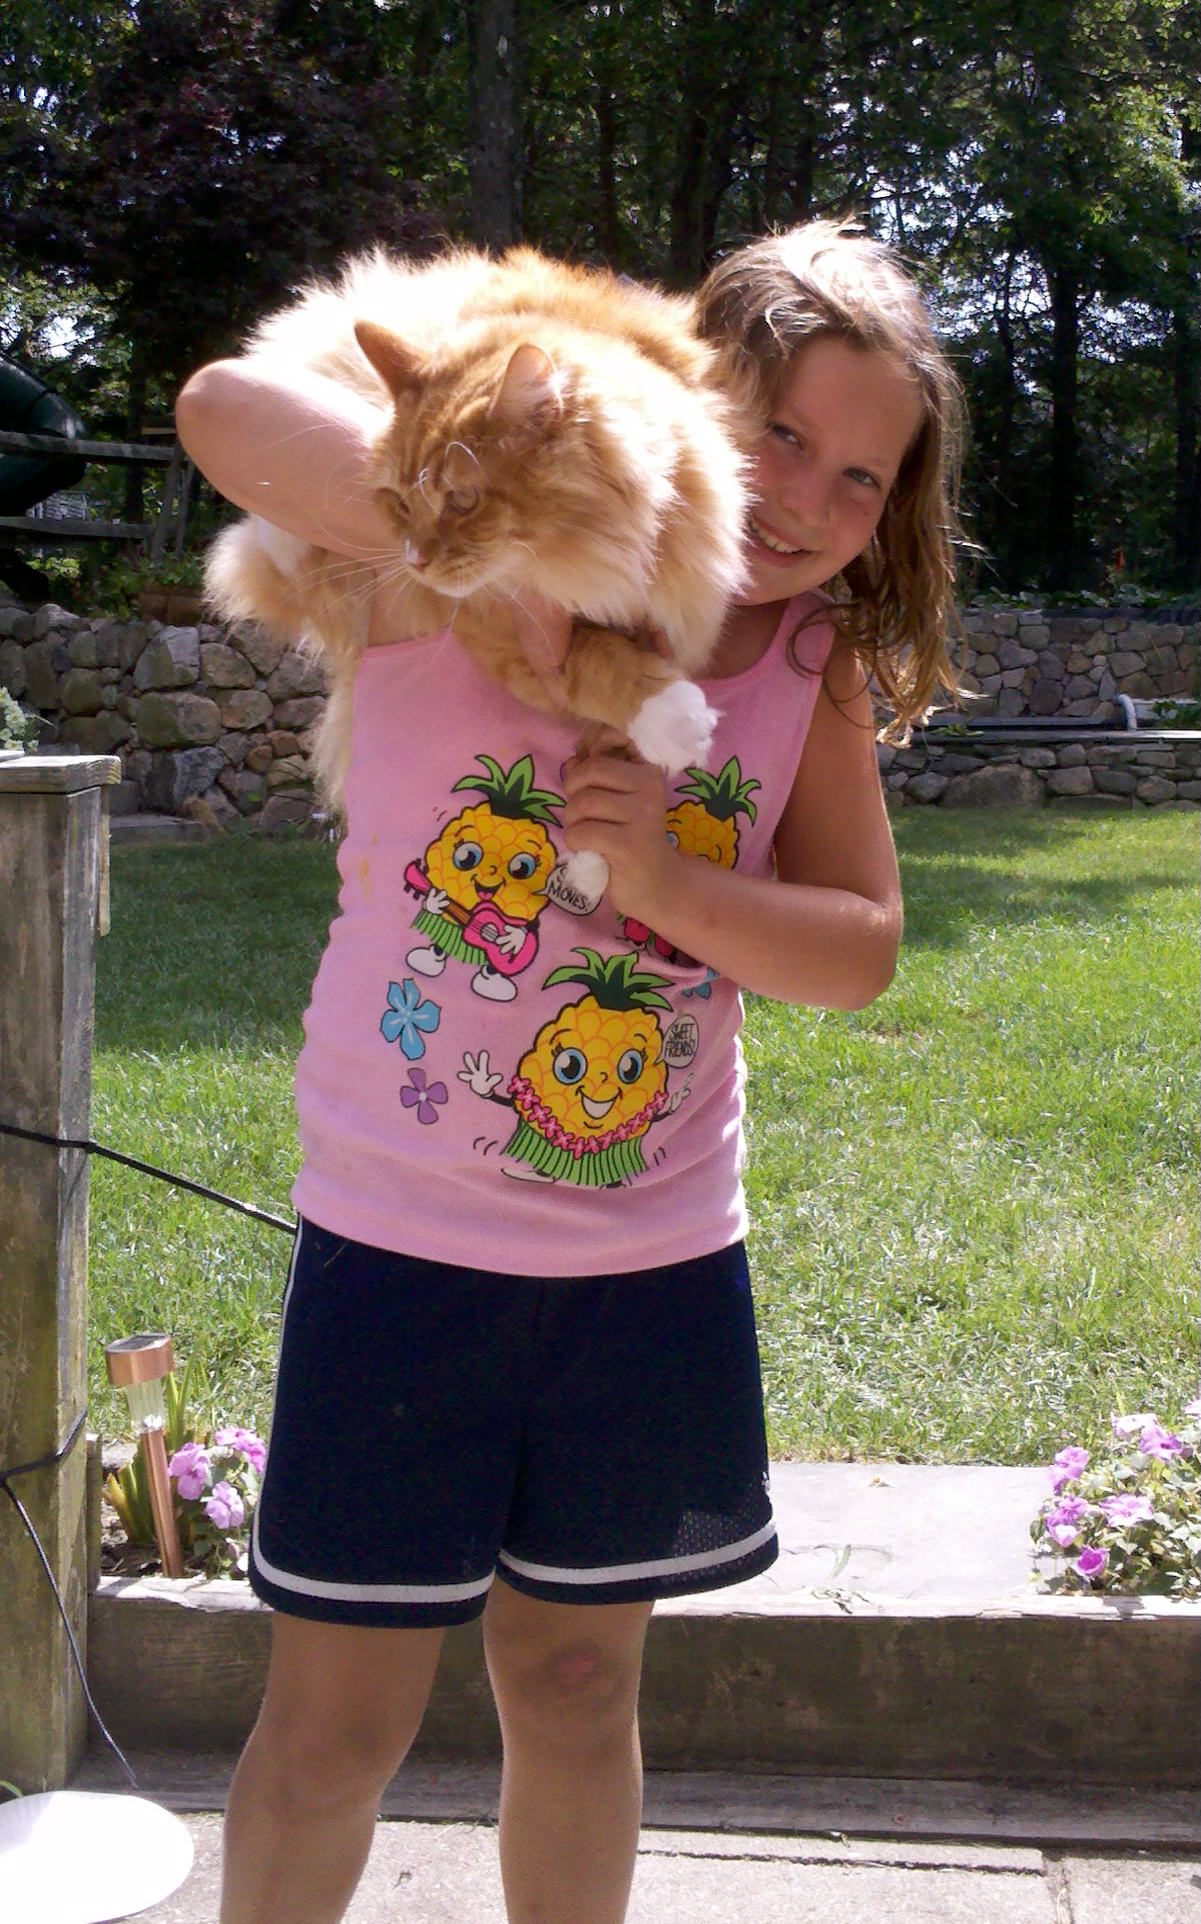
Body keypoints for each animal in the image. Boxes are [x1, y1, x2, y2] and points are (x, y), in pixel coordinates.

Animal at [205, 244, 750, 888]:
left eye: (462, 500)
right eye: (400, 504)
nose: (415, 561)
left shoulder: (684, 615)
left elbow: (612, 750)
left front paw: (599, 857)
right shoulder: (506, 634)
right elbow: (595, 665)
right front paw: (668, 719)